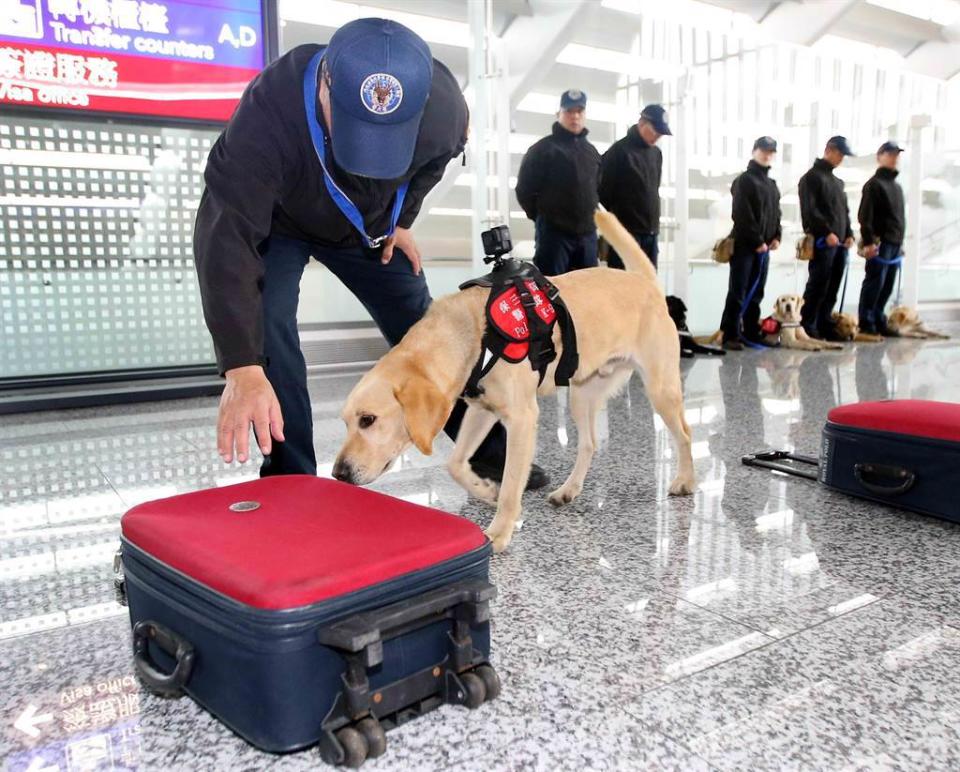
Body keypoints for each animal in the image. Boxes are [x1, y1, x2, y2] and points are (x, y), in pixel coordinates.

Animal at [334, 208, 692, 552]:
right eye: (346, 423)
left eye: (368, 420)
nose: (338, 474)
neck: (473, 334)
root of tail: (645, 283)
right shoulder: (481, 411)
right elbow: (455, 464)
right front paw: (483, 489)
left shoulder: (521, 419)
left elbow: (510, 488)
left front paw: (499, 532)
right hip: (582, 394)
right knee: (589, 444)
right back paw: (569, 490)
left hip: (661, 390)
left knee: (684, 435)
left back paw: (686, 480)